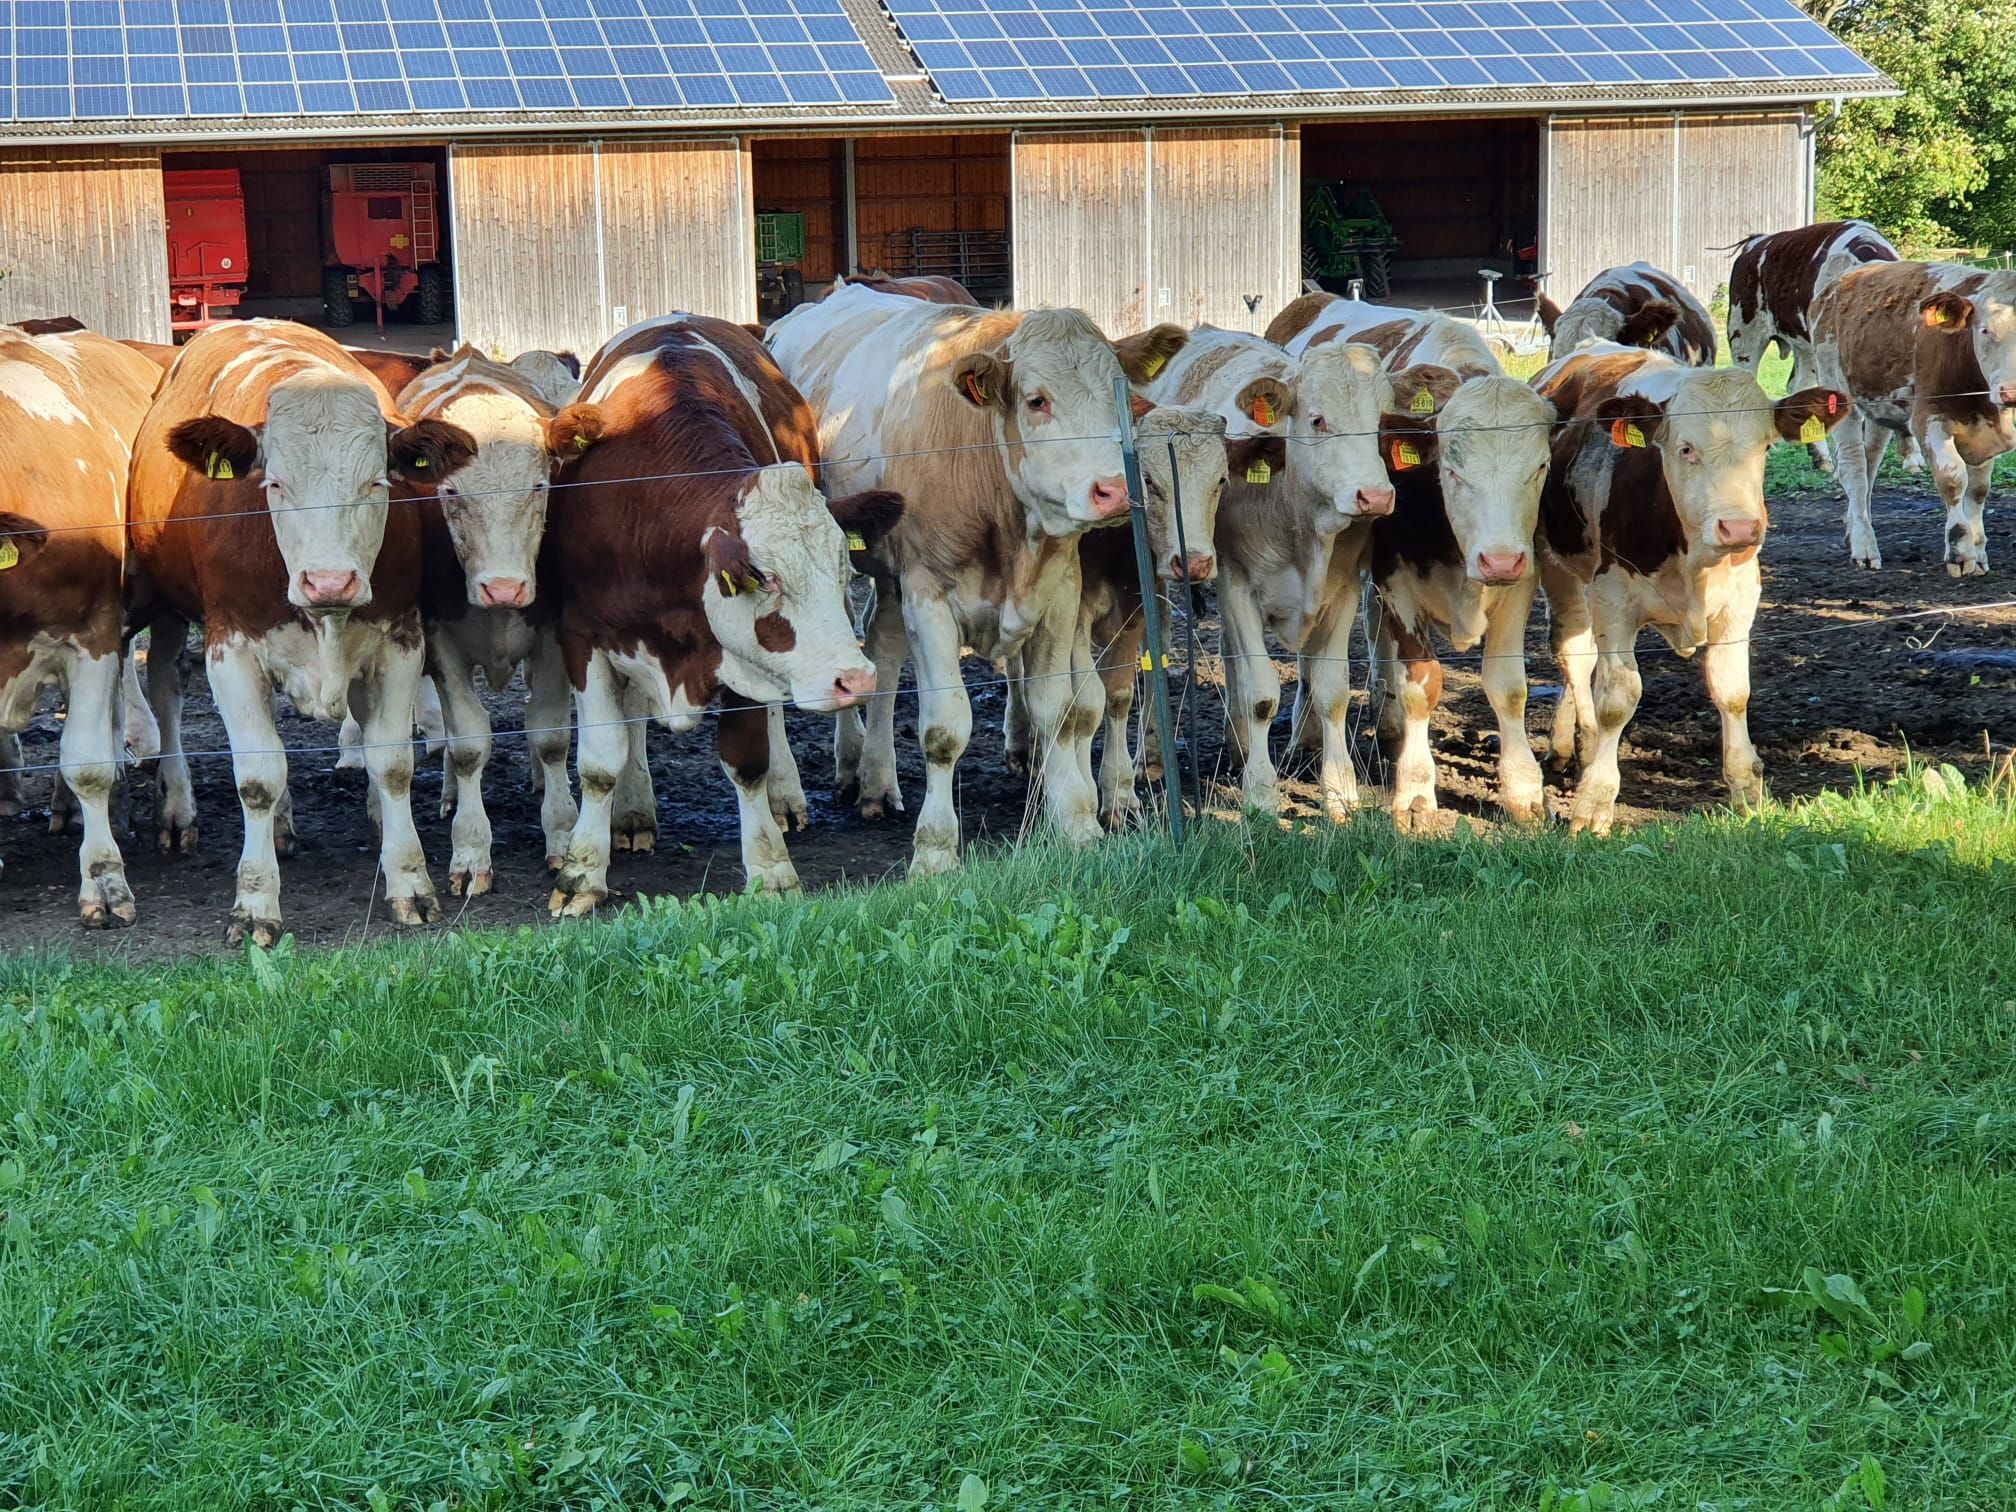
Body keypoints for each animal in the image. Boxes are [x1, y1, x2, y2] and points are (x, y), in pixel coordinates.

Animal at [126, 320, 476, 943]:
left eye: (377, 482)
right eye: (275, 485)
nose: (330, 581)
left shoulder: (398, 639)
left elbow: (392, 761)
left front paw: (409, 881)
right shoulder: (230, 647)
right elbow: (258, 774)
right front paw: (254, 903)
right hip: (168, 605)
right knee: (167, 686)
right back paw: (180, 808)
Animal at [385, 346, 606, 896]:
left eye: (539, 484)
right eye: (449, 493)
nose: (503, 587)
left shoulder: (551, 636)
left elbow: (549, 734)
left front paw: (560, 830)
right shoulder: (440, 642)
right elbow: (467, 743)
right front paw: (470, 851)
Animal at [545, 313, 902, 913]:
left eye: (842, 571)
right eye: (764, 577)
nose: (855, 680)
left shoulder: (737, 657)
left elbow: (747, 758)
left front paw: (770, 867)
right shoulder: (581, 636)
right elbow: (600, 761)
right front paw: (581, 872)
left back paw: (784, 796)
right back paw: (633, 809)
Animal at [1532, 343, 1845, 833]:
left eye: (1765, 446)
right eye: (1685, 449)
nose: (1740, 528)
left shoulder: (1740, 598)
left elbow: (1732, 689)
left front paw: (1747, 790)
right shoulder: (1613, 597)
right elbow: (1617, 698)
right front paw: (1595, 801)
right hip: (1557, 566)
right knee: (1573, 652)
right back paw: (1581, 746)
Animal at [1811, 261, 2016, 575]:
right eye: (1984, 331)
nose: (2010, 392)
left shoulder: (1987, 429)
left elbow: (1979, 489)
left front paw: (1979, 552)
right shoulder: (1928, 417)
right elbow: (1953, 478)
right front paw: (1960, 552)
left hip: (1878, 408)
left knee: (1869, 464)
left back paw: (1853, 529)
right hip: (1840, 396)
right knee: (1853, 471)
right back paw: (1864, 545)